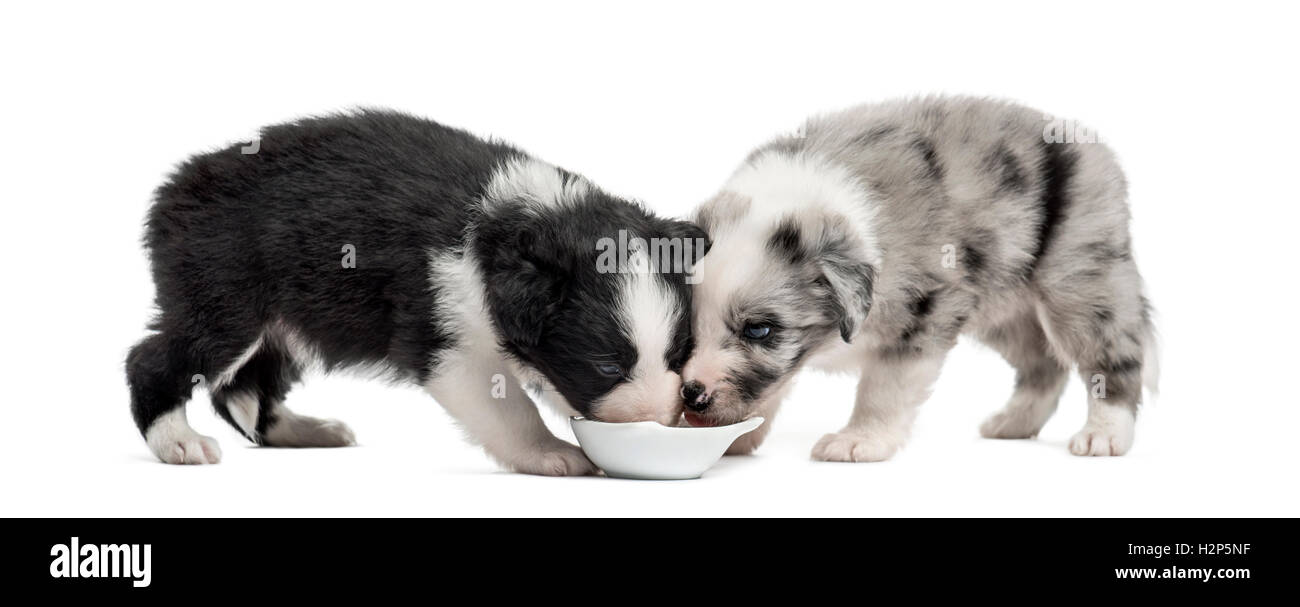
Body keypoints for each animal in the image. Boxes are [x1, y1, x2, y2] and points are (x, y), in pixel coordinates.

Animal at [126, 111, 707, 478]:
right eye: (607, 366)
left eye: (678, 353)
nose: (664, 420)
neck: (508, 226)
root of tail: (175, 188)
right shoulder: (447, 339)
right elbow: (510, 410)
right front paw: (550, 454)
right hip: (225, 297)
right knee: (155, 360)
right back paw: (177, 441)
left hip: (284, 321)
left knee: (245, 386)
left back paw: (303, 430)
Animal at [681, 97, 1159, 460]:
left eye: (759, 330)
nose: (692, 395)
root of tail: (1088, 144)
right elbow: (774, 385)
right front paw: (737, 436)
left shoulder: (925, 310)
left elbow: (884, 387)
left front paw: (860, 440)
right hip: (1003, 310)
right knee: (1044, 365)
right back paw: (1014, 423)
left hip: (1078, 279)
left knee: (1112, 357)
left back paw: (1105, 434)